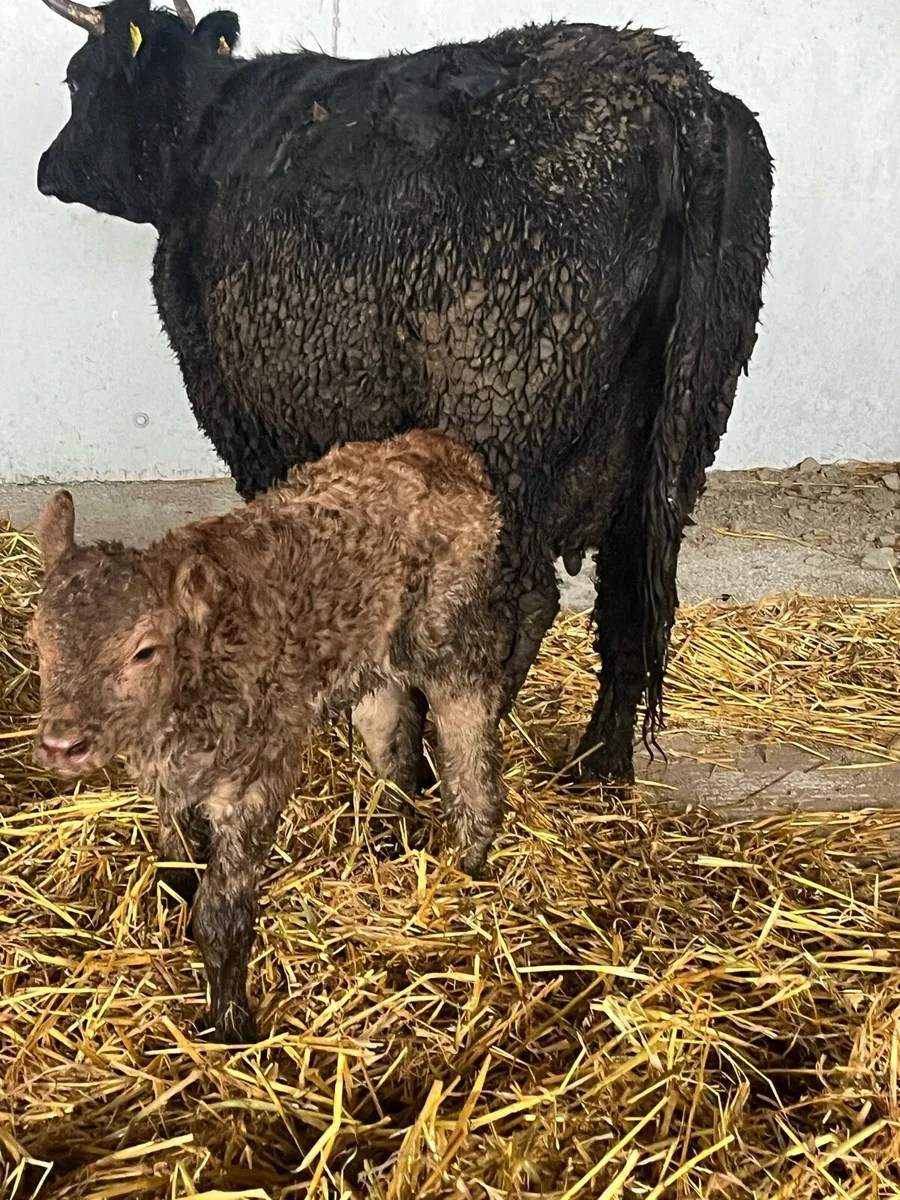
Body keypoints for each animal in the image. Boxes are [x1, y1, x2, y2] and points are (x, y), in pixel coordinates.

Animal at [32, 430, 504, 1042]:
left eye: (144, 650)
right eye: (36, 640)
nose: (61, 744)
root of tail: (439, 446)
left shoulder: (254, 784)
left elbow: (222, 915)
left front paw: (232, 1025)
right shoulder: (175, 781)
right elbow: (175, 863)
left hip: (445, 632)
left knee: (468, 720)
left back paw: (471, 852)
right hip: (367, 658)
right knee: (391, 728)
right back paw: (390, 836)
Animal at [35, 0, 773, 786]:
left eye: (77, 80)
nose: (48, 166)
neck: (209, 136)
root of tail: (667, 83)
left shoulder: (252, 413)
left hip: (501, 430)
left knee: (519, 608)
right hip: (677, 442)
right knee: (632, 603)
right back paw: (597, 766)